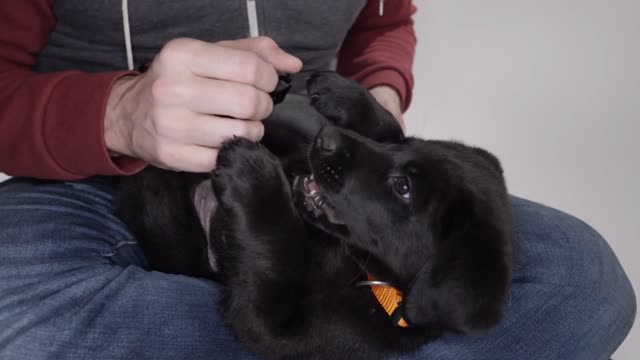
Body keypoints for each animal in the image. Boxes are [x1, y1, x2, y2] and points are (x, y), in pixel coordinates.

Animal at [116, 71, 516, 358]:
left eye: (403, 187)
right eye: (407, 147)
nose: (326, 138)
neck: (363, 273)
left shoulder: (277, 328)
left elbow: (277, 249)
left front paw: (254, 173)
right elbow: (387, 123)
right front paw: (344, 93)